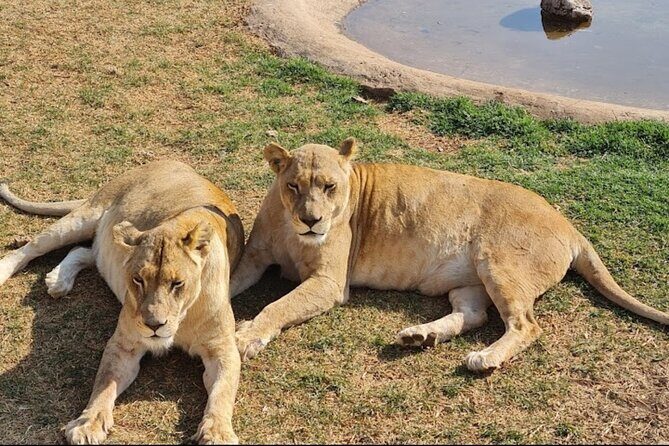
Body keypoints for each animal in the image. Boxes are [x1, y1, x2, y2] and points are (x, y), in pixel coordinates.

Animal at [0, 160, 244, 444]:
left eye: (177, 283)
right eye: (138, 279)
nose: (154, 325)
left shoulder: (223, 349)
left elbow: (222, 393)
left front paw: (218, 433)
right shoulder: (125, 343)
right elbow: (104, 384)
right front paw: (88, 424)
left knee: (84, 251)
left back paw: (58, 280)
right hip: (82, 219)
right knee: (31, 249)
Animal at [231, 138, 668, 370]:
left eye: (330, 187)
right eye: (293, 186)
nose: (312, 220)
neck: (291, 231)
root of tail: (569, 225)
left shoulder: (328, 283)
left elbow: (278, 306)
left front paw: (247, 335)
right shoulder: (253, 260)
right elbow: (232, 281)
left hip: (499, 262)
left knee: (525, 325)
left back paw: (485, 358)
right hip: (469, 281)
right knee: (474, 314)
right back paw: (419, 336)